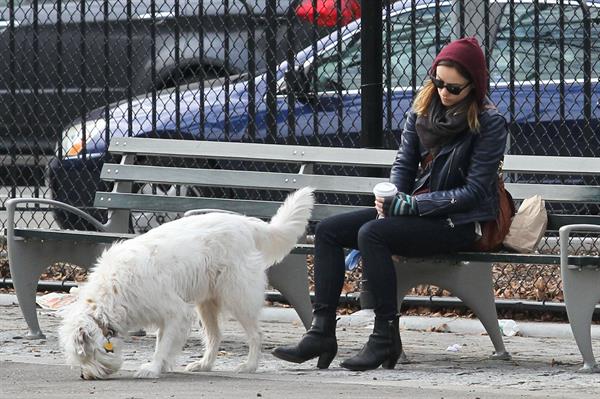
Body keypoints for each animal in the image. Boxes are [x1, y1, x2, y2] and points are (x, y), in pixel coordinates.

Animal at [59, 188, 314, 382]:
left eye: (86, 356)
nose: (85, 376)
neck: (112, 293)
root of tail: (245, 223)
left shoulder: (175, 312)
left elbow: (162, 345)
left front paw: (153, 368)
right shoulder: (169, 315)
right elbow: (164, 342)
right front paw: (161, 366)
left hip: (237, 298)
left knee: (255, 334)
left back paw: (249, 365)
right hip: (206, 303)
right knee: (215, 336)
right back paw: (204, 365)